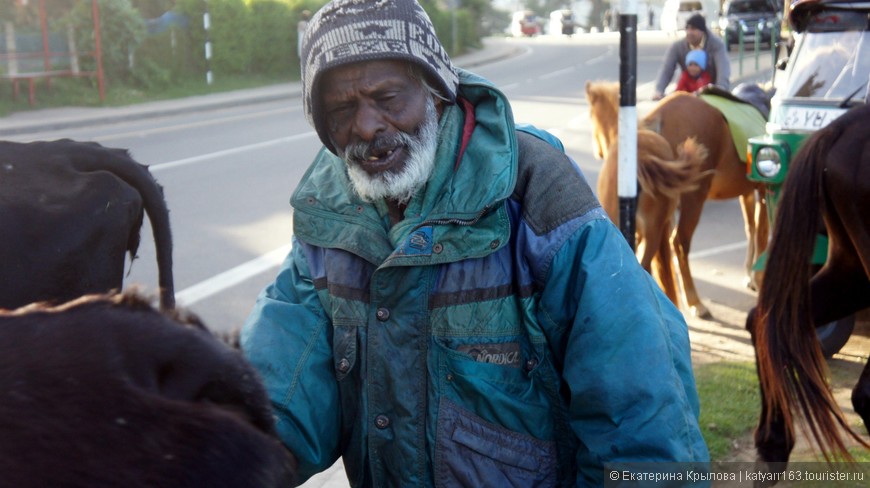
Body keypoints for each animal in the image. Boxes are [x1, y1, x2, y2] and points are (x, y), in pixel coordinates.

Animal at [584, 81, 768, 316]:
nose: (597, 151)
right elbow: (760, 229)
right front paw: (757, 277)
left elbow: (753, 227)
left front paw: (751, 275)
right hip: (691, 201)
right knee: (678, 243)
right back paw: (695, 302)